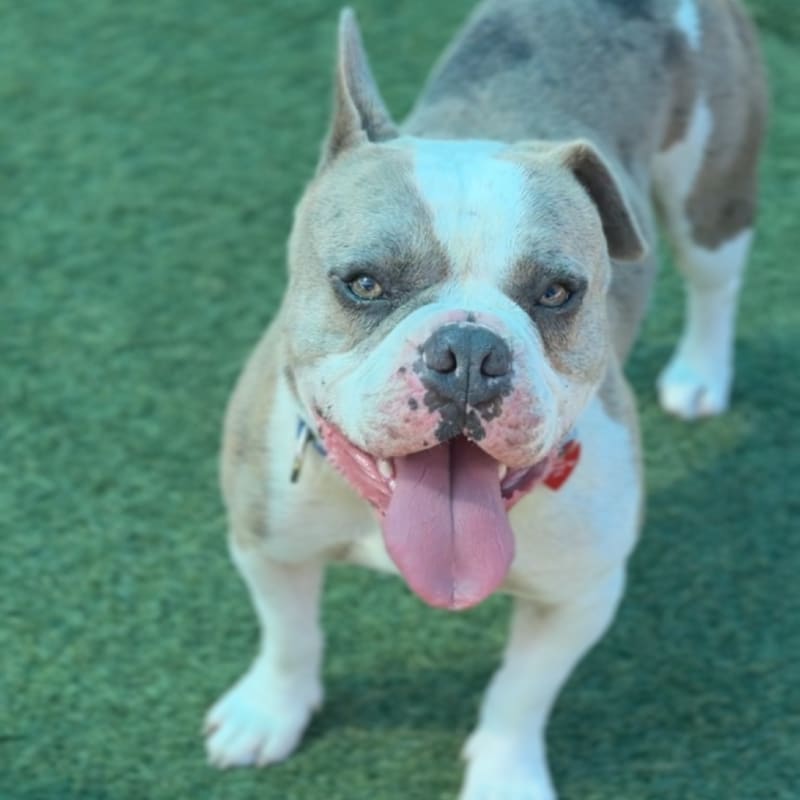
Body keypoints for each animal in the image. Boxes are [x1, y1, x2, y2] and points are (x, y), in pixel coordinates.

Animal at [204, 1, 765, 796]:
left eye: (558, 293)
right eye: (364, 283)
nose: (469, 353)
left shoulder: (579, 599)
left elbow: (520, 695)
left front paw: (504, 776)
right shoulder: (267, 543)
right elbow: (289, 637)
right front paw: (269, 712)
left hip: (710, 195)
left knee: (717, 282)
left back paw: (701, 372)